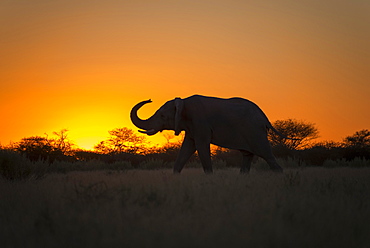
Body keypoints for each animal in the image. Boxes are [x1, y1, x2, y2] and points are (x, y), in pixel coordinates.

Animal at [132, 95, 284, 174]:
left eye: (163, 116)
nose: (149, 99)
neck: (183, 102)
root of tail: (264, 117)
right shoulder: (192, 127)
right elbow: (187, 148)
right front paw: (175, 176)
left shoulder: (200, 123)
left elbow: (201, 146)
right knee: (247, 155)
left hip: (255, 132)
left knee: (267, 155)